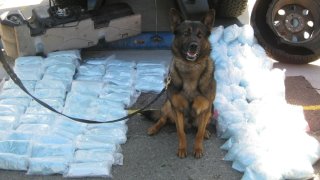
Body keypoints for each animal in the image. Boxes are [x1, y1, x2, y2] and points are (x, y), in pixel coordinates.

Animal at [146, 8, 216, 158]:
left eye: (200, 35)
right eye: (186, 34)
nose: (193, 46)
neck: (190, 69)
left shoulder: (206, 108)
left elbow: (199, 132)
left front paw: (198, 148)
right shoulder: (177, 108)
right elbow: (181, 132)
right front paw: (182, 148)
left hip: (211, 110)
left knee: (200, 126)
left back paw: (206, 131)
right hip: (168, 104)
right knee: (163, 118)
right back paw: (154, 128)